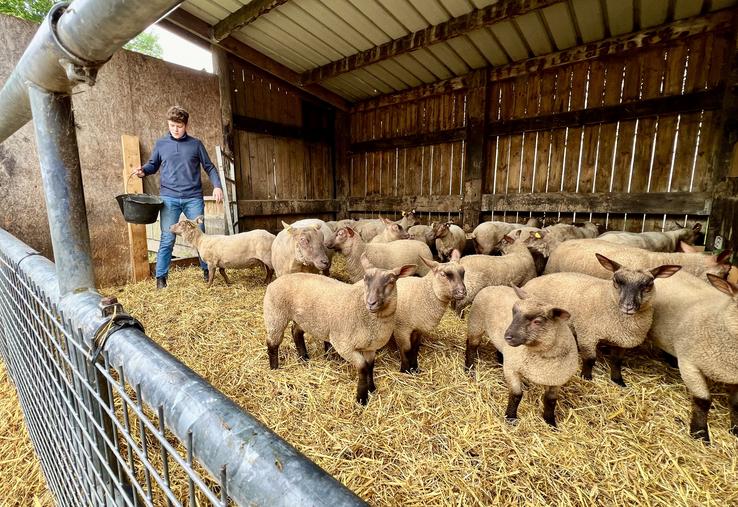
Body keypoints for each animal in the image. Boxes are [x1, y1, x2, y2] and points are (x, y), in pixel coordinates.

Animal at [264, 256, 414, 406]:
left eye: (391, 281)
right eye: (365, 279)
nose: (371, 303)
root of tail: (277, 280)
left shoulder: (370, 348)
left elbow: (370, 366)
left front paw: (371, 388)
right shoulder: (344, 346)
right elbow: (363, 368)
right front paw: (361, 398)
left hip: (302, 318)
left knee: (296, 332)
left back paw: (304, 358)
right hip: (276, 315)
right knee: (272, 343)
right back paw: (274, 368)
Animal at [466, 288, 576, 426]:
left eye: (537, 321)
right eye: (514, 314)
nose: (507, 336)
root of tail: (494, 286)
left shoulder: (556, 380)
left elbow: (551, 401)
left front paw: (550, 422)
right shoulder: (512, 369)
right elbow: (517, 395)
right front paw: (511, 418)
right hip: (475, 324)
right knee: (471, 346)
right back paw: (469, 369)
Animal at [524, 256, 680, 386]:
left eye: (648, 285)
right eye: (616, 281)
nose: (628, 306)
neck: (607, 298)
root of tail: (529, 282)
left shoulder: (621, 342)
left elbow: (616, 361)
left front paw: (618, 380)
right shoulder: (587, 336)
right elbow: (590, 359)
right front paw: (586, 377)